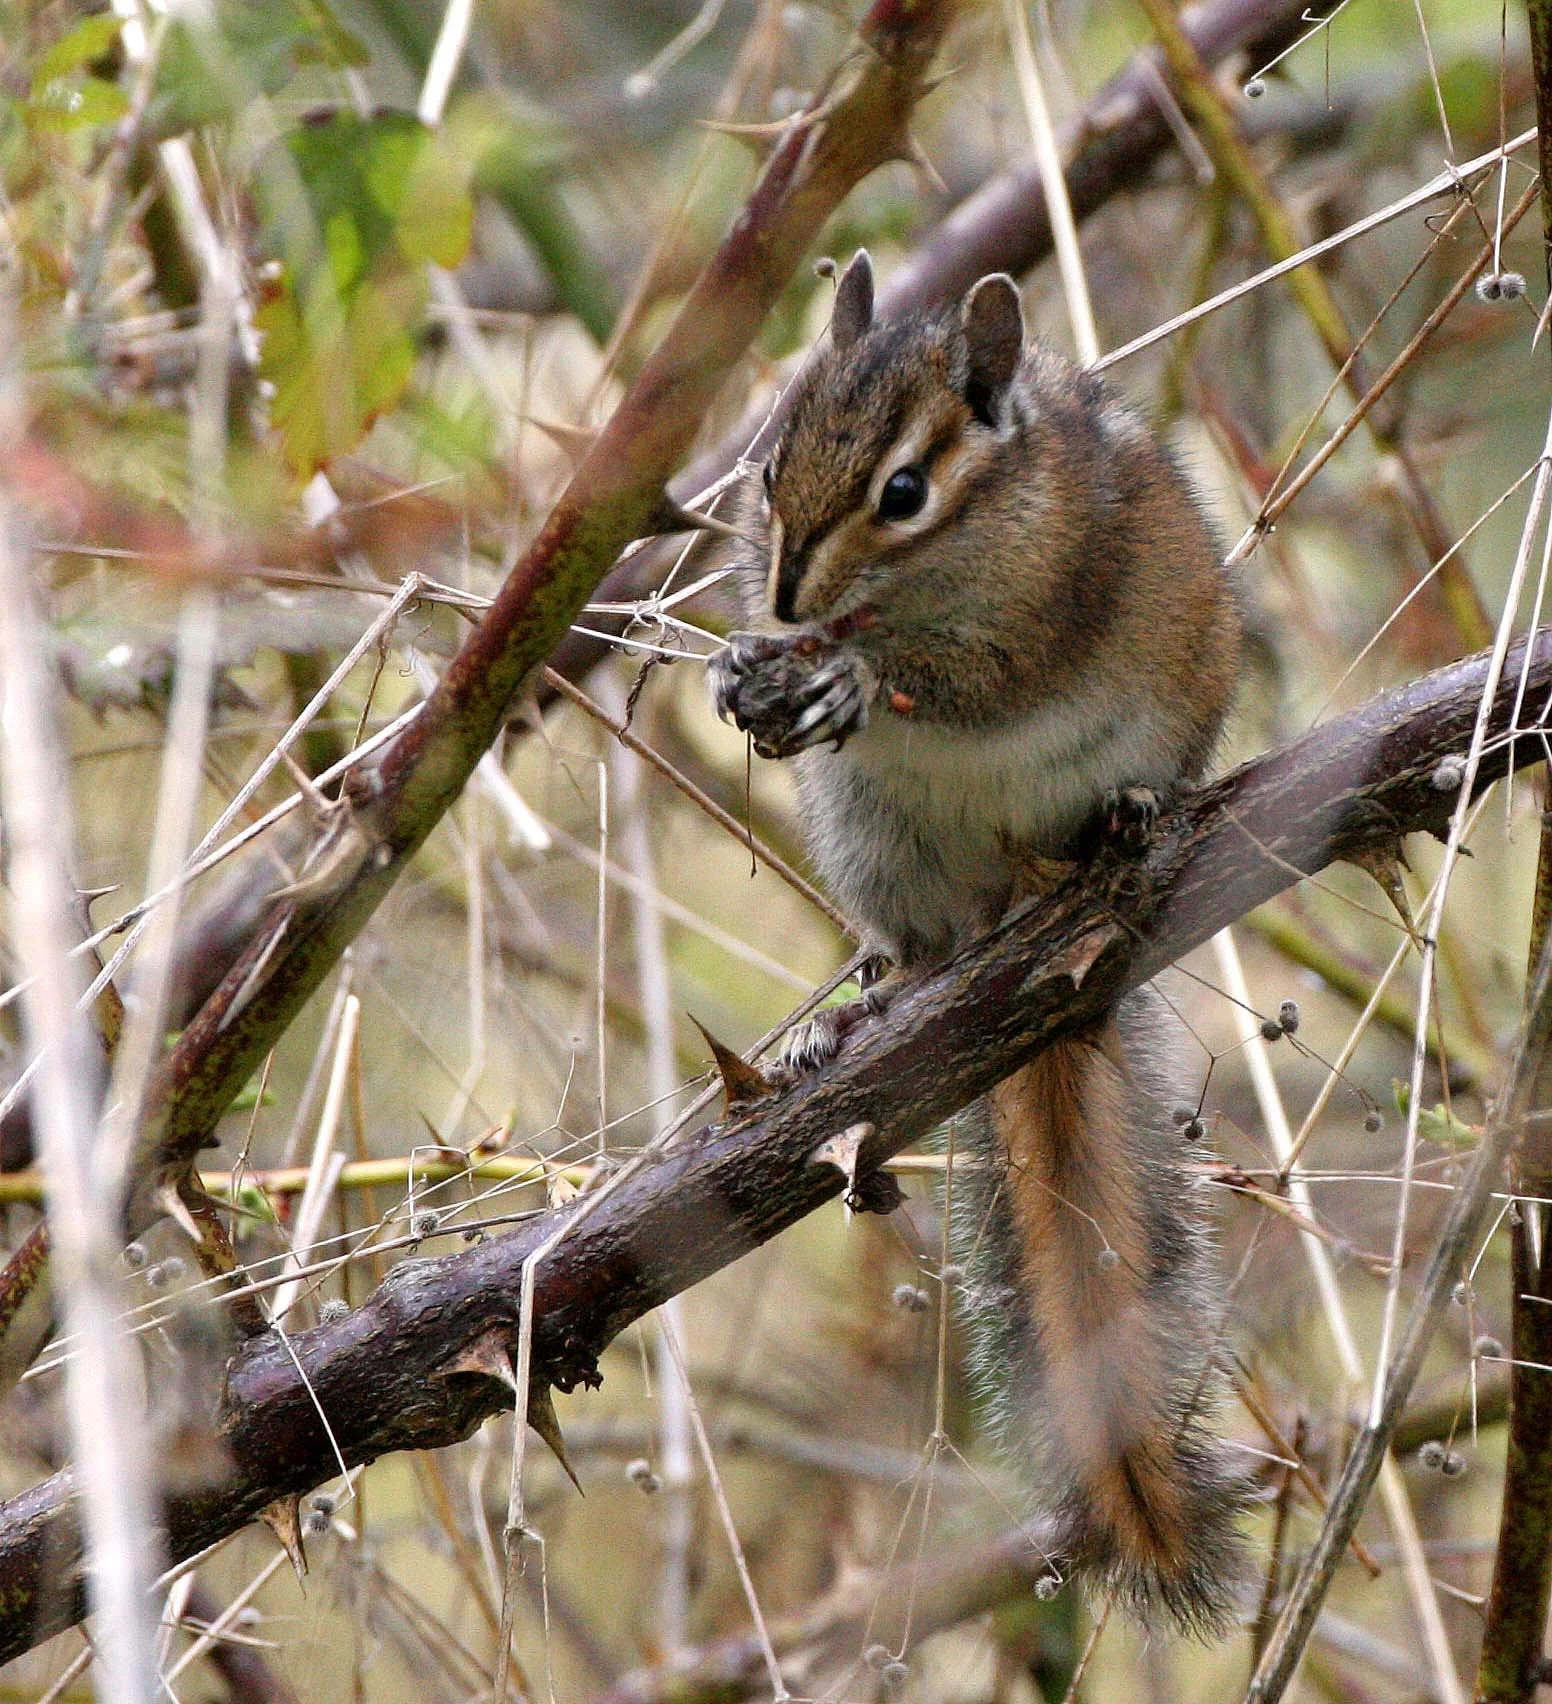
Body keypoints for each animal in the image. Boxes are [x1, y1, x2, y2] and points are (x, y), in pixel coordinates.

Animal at [708, 251, 1246, 1632]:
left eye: (904, 493)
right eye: (767, 464)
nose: (783, 598)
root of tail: (1023, 911)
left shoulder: (1042, 606)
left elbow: (973, 678)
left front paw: (850, 679)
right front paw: (744, 666)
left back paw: (1127, 813)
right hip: (883, 847)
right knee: (923, 948)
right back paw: (854, 1017)